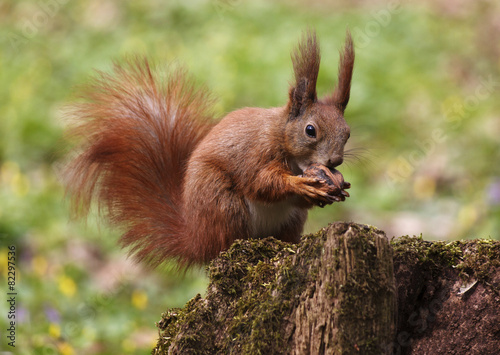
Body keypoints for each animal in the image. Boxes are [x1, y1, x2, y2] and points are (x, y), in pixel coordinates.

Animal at [62, 30, 354, 268]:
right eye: (310, 130)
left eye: (347, 132)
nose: (335, 161)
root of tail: (195, 238)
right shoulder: (256, 152)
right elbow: (260, 182)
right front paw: (301, 184)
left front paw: (335, 188)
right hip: (222, 202)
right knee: (224, 242)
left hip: (290, 221)